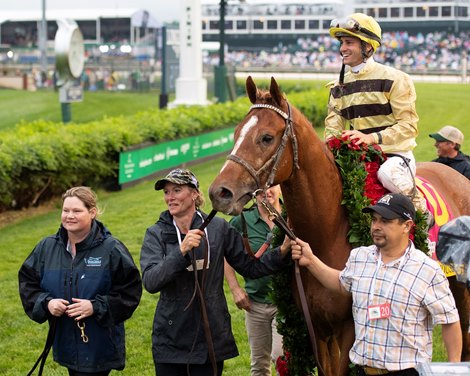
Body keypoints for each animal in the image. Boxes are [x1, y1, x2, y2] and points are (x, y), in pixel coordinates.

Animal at [209, 77, 470, 376]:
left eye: (266, 137)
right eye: (235, 133)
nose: (220, 192)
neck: (328, 234)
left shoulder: (350, 328)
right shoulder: (317, 329)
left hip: (459, 283)